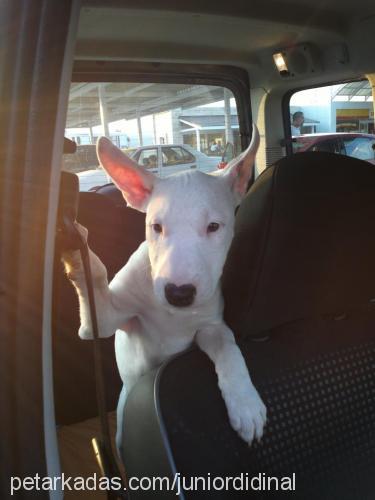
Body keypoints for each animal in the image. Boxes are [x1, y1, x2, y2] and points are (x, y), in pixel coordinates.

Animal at [62, 126, 268, 458]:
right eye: (155, 227)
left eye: (214, 226)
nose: (179, 293)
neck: (171, 314)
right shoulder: (101, 319)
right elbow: (95, 275)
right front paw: (74, 241)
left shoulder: (210, 327)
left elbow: (228, 348)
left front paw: (246, 404)